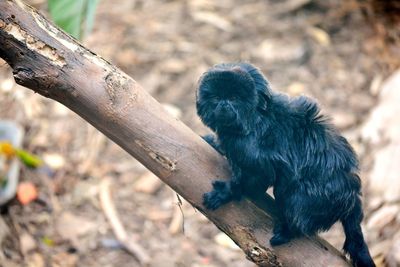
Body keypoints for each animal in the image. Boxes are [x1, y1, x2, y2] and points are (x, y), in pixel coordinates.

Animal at [196, 62, 376, 267]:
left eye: (234, 98)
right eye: (217, 98)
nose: (224, 104)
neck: (255, 118)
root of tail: (352, 196)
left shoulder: (252, 150)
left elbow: (257, 177)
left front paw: (226, 192)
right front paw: (213, 141)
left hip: (316, 198)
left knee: (290, 196)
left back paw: (288, 231)